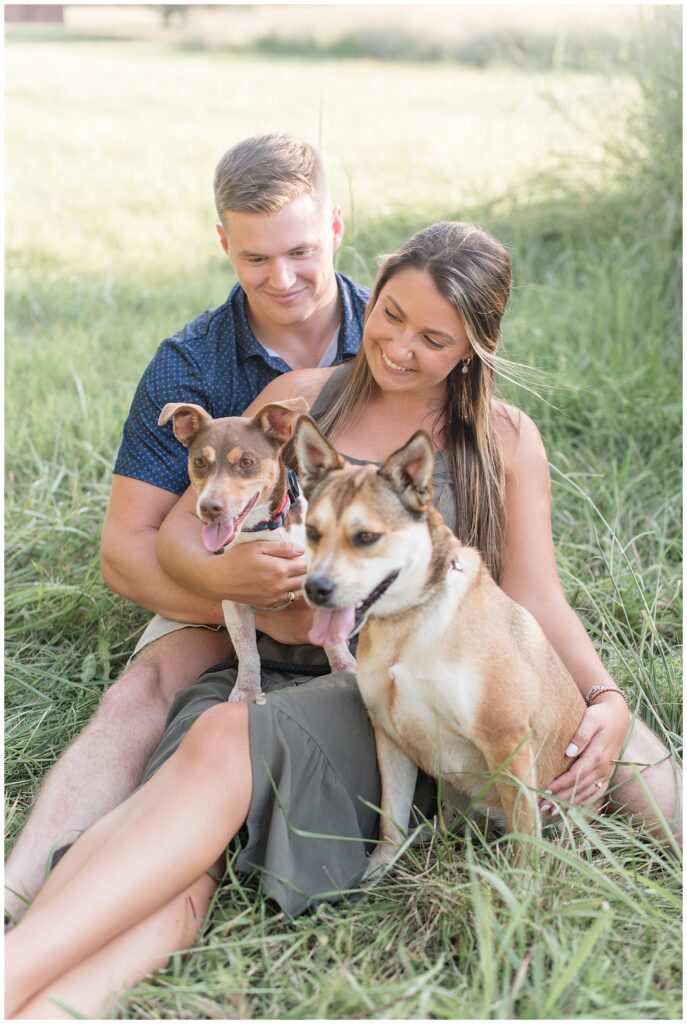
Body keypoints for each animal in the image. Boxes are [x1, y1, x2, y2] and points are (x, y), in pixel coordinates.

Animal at [159, 399, 358, 704]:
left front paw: (344, 668)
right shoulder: (233, 600)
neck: (262, 530)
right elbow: (247, 650)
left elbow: (333, 638)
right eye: (200, 462)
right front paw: (246, 689)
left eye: (246, 462)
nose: (209, 507)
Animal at [292, 419, 589, 876]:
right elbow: (390, 819)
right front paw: (379, 867)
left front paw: (524, 886)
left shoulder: (507, 740)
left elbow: (525, 838)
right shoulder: (389, 736)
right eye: (312, 532)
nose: (315, 589)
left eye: (366, 537)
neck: (409, 620)